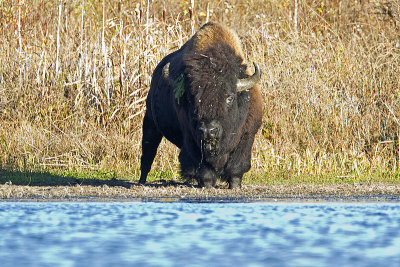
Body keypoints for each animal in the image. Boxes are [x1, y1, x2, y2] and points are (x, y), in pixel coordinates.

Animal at [140, 23, 262, 189]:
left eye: (229, 97)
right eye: (191, 98)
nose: (208, 131)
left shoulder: (247, 136)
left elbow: (237, 167)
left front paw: (235, 186)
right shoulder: (192, 140)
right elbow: (204, 170)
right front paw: (207, 185)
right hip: (150, 124)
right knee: (147, 154)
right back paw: (141, 181)